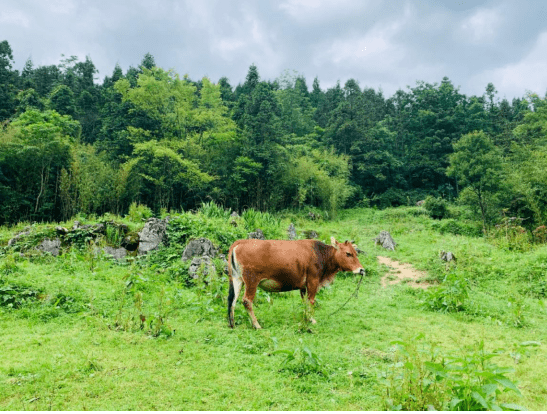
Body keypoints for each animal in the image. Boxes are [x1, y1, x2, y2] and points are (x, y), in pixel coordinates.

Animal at [227, 238, 364, 328]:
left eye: (356, 253)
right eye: (348, 253)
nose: (361, 270)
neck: (320, 253)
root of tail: (241, 242)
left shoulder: (303, 286)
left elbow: (305, 302)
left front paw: (306, 317)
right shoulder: (313, 281)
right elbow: (311, 301)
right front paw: (311, 319)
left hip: (237, 279)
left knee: (232, 300)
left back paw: (232, 323)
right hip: (251, 280)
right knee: (246, 301)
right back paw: (257, 325)